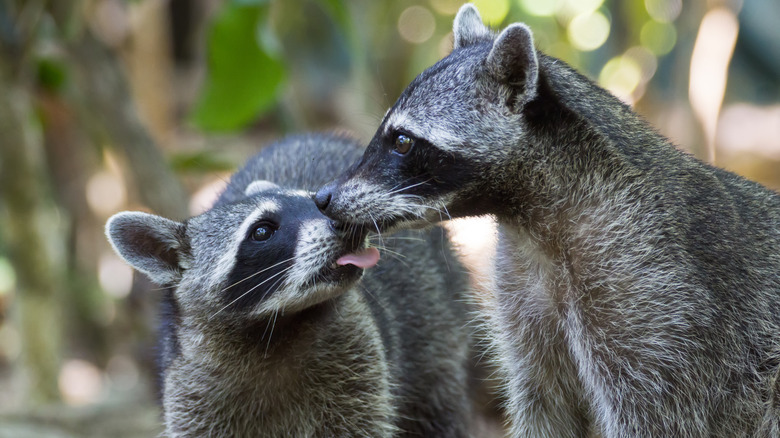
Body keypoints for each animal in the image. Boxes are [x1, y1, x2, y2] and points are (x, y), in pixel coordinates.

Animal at [103, 134, 482, 438]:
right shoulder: (191, 392)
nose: (351, 225)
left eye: (314, 199)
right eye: (262, 231)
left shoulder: (359, 368)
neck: (274, 331)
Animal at [314, 5, 780, 436]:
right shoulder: (526, 300)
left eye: (403, 141)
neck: (533, 223)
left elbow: (659, 417)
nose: (322, 197)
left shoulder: (662, 308)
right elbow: (544, 406)